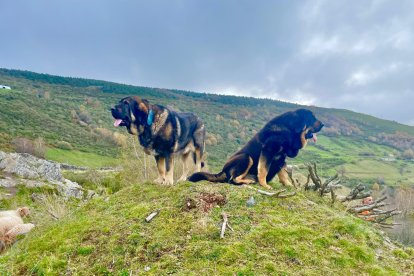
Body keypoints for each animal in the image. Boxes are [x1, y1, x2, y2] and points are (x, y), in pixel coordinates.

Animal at [188, 109, 324, 189]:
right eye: (312, 118)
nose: (323, 124)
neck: (289, 129)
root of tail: (223, 171)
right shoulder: (268, 151)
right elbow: (263, 170)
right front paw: (264, 184)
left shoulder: (282, 158)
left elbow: (283, 174)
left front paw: (289, 185)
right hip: (246, 157)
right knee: (233, 179)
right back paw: (248, 181)